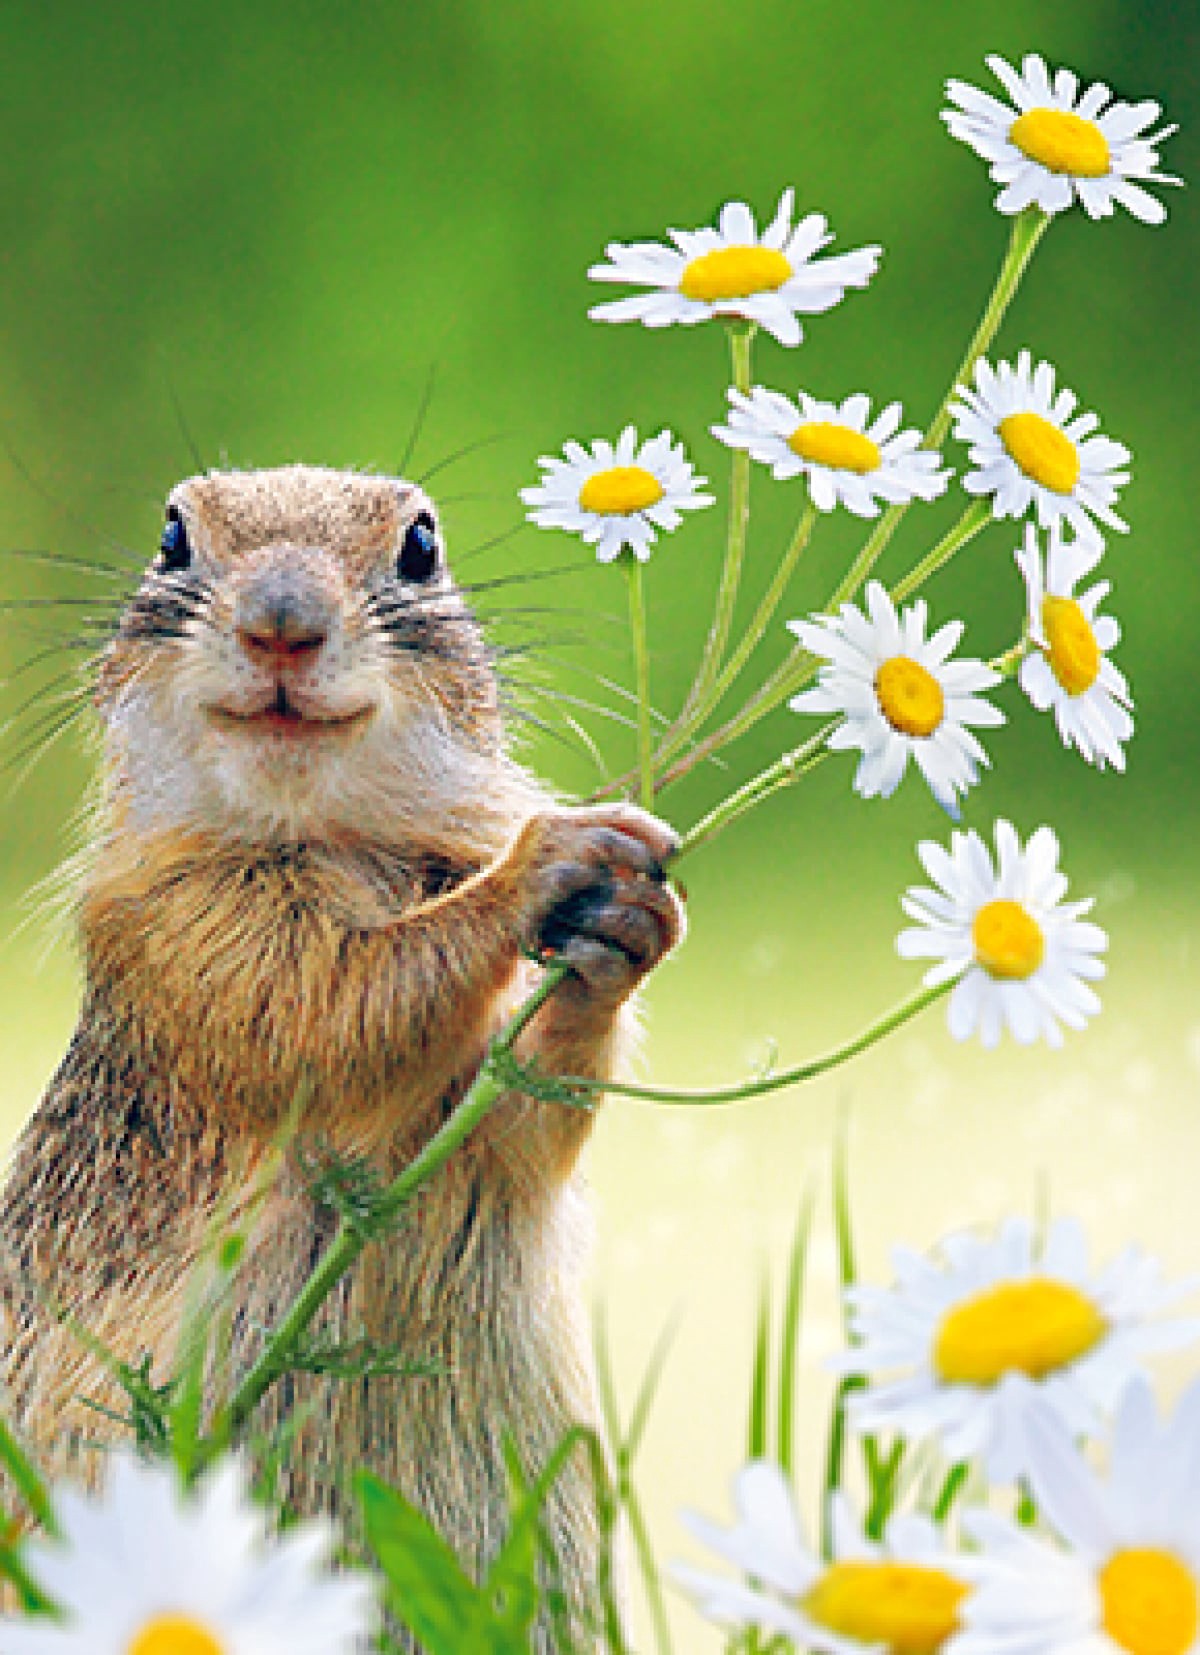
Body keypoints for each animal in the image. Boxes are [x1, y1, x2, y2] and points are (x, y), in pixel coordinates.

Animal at [0, 465, 685, 1649]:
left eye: (421, 545)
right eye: (172, 537)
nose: (282, 624)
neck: (330, 835)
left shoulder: (481, 1114)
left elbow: (526, 1121)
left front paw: (625, 921)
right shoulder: (173, 926)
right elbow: (338, 1002)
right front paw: (545, 858)